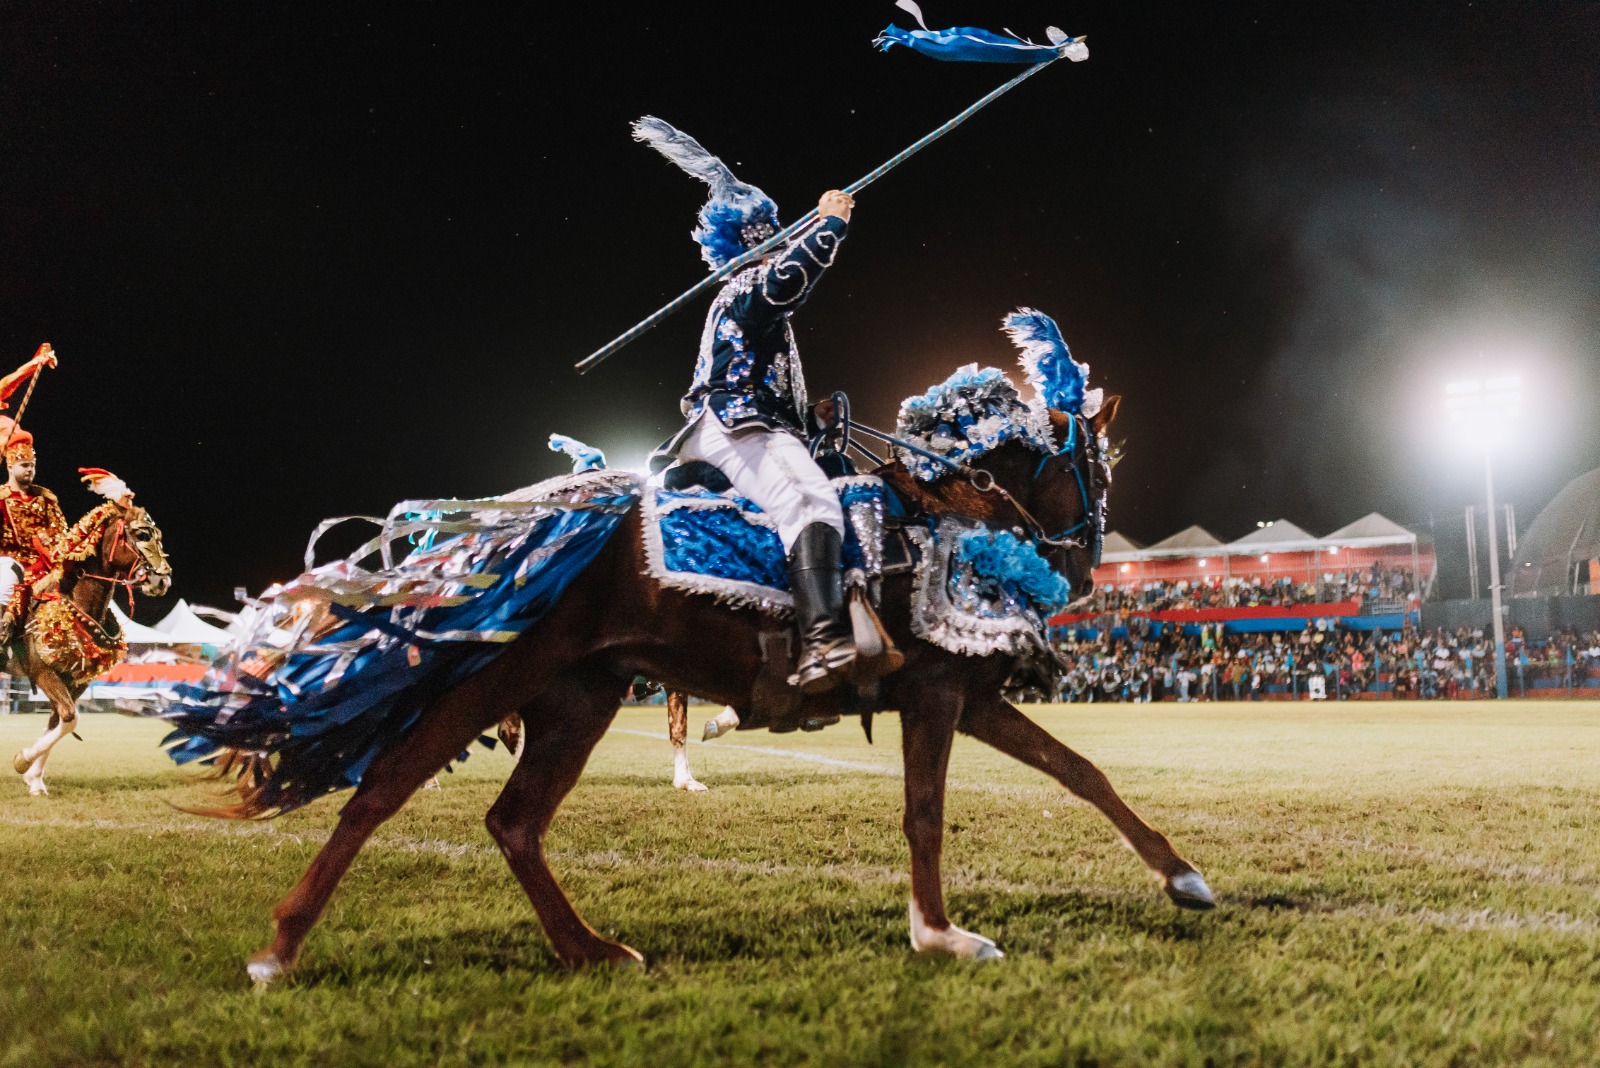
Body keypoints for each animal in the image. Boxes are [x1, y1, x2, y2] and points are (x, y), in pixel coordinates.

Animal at [232, 394, 1209, 984]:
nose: (1084, 564)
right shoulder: (934, 693)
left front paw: (1183, 877)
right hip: (497, 676)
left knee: (514, 822)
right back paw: (279, 946)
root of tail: (523, 523)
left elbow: (1081, 773)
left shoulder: (971, 697)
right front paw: (940, 933)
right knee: (384, 790)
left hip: (581, 697)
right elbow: (925, 813)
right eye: (1097, 466)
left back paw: (589, 949)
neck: (945, 519)